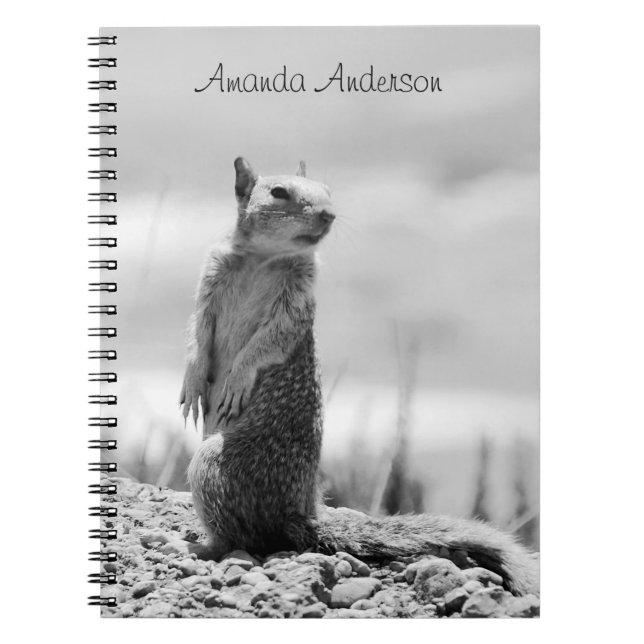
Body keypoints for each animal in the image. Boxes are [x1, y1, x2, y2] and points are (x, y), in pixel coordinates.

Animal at [180, 158, 539, 597]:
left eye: (328, 191)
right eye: (279, 192)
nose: (329, 214)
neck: (264, 258)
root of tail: (298, 514)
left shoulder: (296, 302)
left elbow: (267, 342)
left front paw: (235, 380)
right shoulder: (210, 277)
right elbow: (198, 331)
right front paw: (192, 382)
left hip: (211, 462)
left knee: (240, 539)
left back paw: (196, 545)